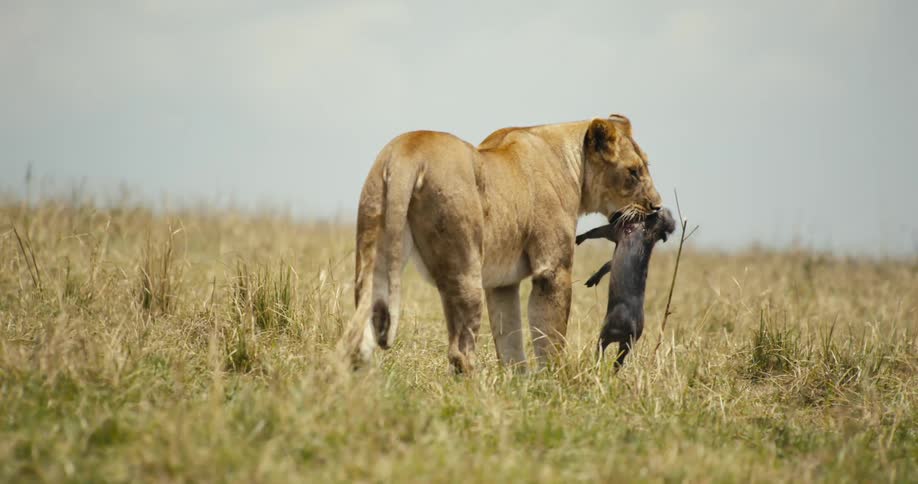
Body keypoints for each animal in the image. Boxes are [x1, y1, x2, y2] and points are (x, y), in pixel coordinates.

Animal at [340, 115, 662, 373]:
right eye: (633, 172)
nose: (657, 207)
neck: (573, 164)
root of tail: (407, 152)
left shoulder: (502, 283)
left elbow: (510, 340)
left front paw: (518, 386)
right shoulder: (552, 268)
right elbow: (550, 335)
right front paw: (556, 383)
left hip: (374, 251)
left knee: (358, 335)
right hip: (464, 267)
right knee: (459, 350)